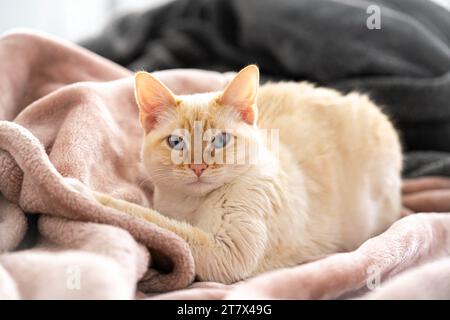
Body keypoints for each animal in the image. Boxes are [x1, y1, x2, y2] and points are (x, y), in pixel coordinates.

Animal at [66, 64, 400, 282]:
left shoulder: (226, 255)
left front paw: (80, 192)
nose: (198, 167)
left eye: (220, 140)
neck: (190, 206)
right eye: (176, 142)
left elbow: (154, 221)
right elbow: (160, 220)